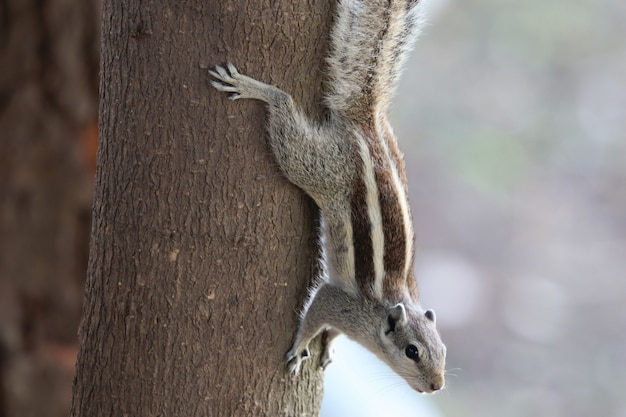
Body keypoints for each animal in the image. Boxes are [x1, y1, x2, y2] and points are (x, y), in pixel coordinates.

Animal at [208, 0, 444, 394]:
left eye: (443, 350)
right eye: (411, 351)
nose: (437, 385)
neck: (385, 311)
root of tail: (366, 123)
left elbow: (331, 332)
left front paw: (329, 345)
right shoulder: (337, 302)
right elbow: (314, 313)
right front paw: (301, 346)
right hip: (316, 166)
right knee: (285, 112)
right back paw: (256, 89)